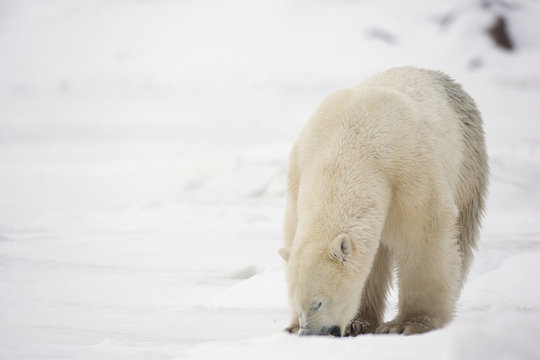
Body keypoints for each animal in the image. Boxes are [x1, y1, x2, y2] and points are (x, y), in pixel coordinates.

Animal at [280, 66, 488, 336]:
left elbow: (423, 238)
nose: (309, 334)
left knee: (462, 236)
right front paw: (294, 326)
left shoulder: (408, 174)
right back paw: (359, 323)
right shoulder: (299, 172)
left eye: (318, 303)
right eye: (298, 304)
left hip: (467, 165)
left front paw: (408, 324)